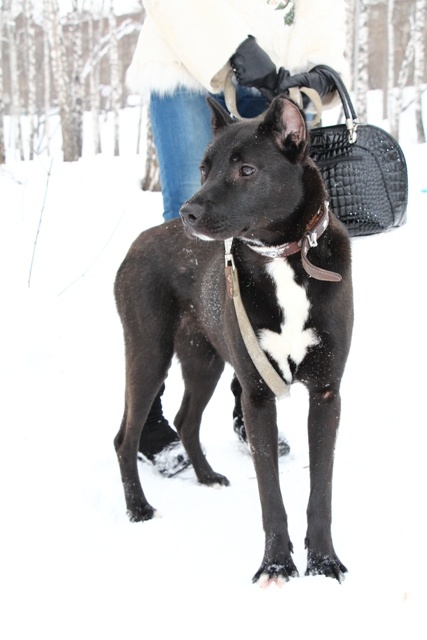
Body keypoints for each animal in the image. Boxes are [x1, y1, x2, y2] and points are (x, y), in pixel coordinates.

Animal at [114, 95, 353, 584]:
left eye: (246, 170)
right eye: (204, 168)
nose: (188, 213)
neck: (284, 257)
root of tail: (138, 242)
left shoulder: (326, 393)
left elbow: (320, 491)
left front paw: (322, 562)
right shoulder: (257, 395)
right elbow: (270, 496)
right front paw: (276, 564)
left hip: (204, 361)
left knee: (186, 420)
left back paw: (205, 476)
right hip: (148, 354)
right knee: (125, 438)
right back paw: (138, 507)